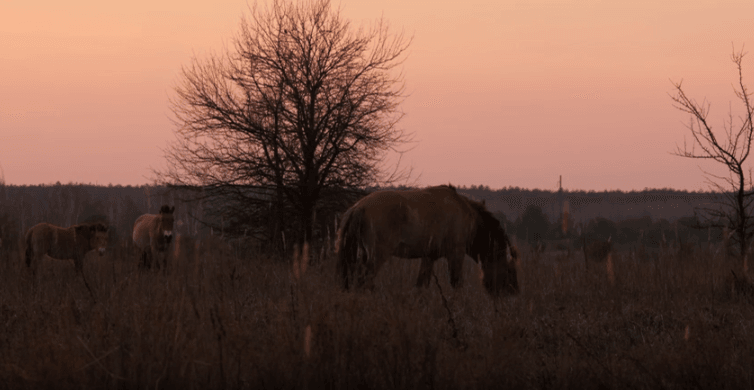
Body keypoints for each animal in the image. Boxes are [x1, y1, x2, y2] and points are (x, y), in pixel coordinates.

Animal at [336, 186, 516, 296]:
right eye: (509, 270)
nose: (511, 292)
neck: (469, 218)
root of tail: (358, 208)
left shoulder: (429, 257)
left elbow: (421, 285)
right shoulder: (456, 254)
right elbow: (456, 283)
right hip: (377, 255)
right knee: (364, 281)